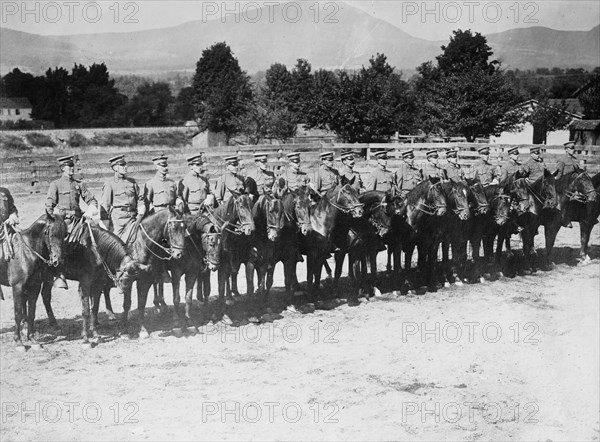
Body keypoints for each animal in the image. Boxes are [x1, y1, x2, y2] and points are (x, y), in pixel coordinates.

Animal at [0, 212, 66, 350]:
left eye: (65, 235)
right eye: (51, 234)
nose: (58, 261)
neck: (27, 252)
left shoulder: (34, 286)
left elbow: (31, 312)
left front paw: (32, 339)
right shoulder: (17, 287)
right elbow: (18, 314)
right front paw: (18, 342)